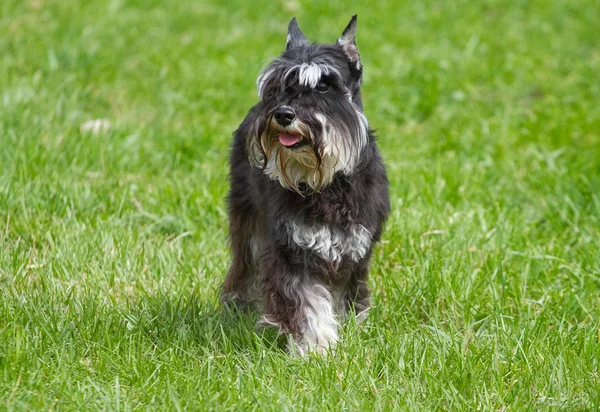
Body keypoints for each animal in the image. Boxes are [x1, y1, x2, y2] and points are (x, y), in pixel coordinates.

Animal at [220, 13, 390, 354]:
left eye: (325, 85)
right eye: (276, 86)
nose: (284, 114)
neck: (328, 184)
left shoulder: (355, 253)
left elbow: (348, 295)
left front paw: (352, 330)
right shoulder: (292, 251)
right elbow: (307, 302)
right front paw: (316, 348)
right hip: (248, 226)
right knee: (245, 267)